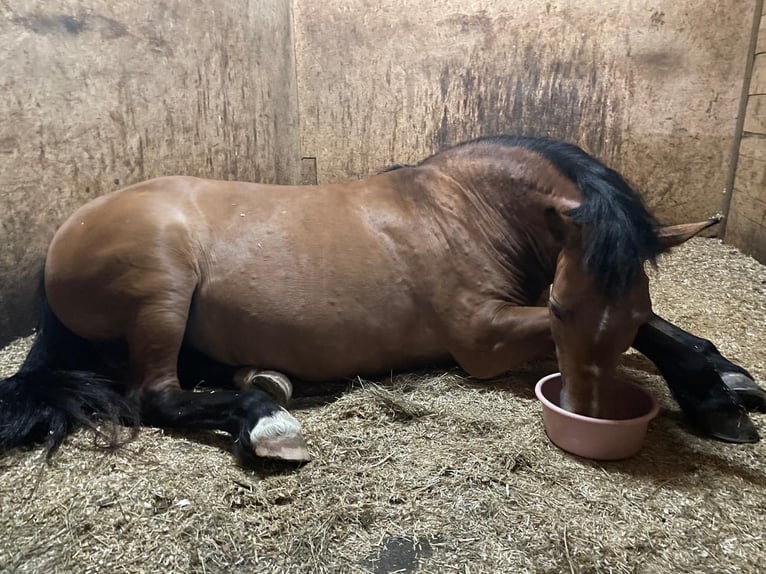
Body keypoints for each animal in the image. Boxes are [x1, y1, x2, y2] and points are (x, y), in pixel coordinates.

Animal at [1, 135, 764, 464]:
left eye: (624, 314)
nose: (588, 418)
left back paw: (265, 382)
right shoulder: (486, 336)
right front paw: (715, 391)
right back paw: (267, 423)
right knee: (157, 396)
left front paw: (723, 384)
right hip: (161, 289)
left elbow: (662, 329)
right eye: (560, 310)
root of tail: (62, 239)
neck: (463, 207)